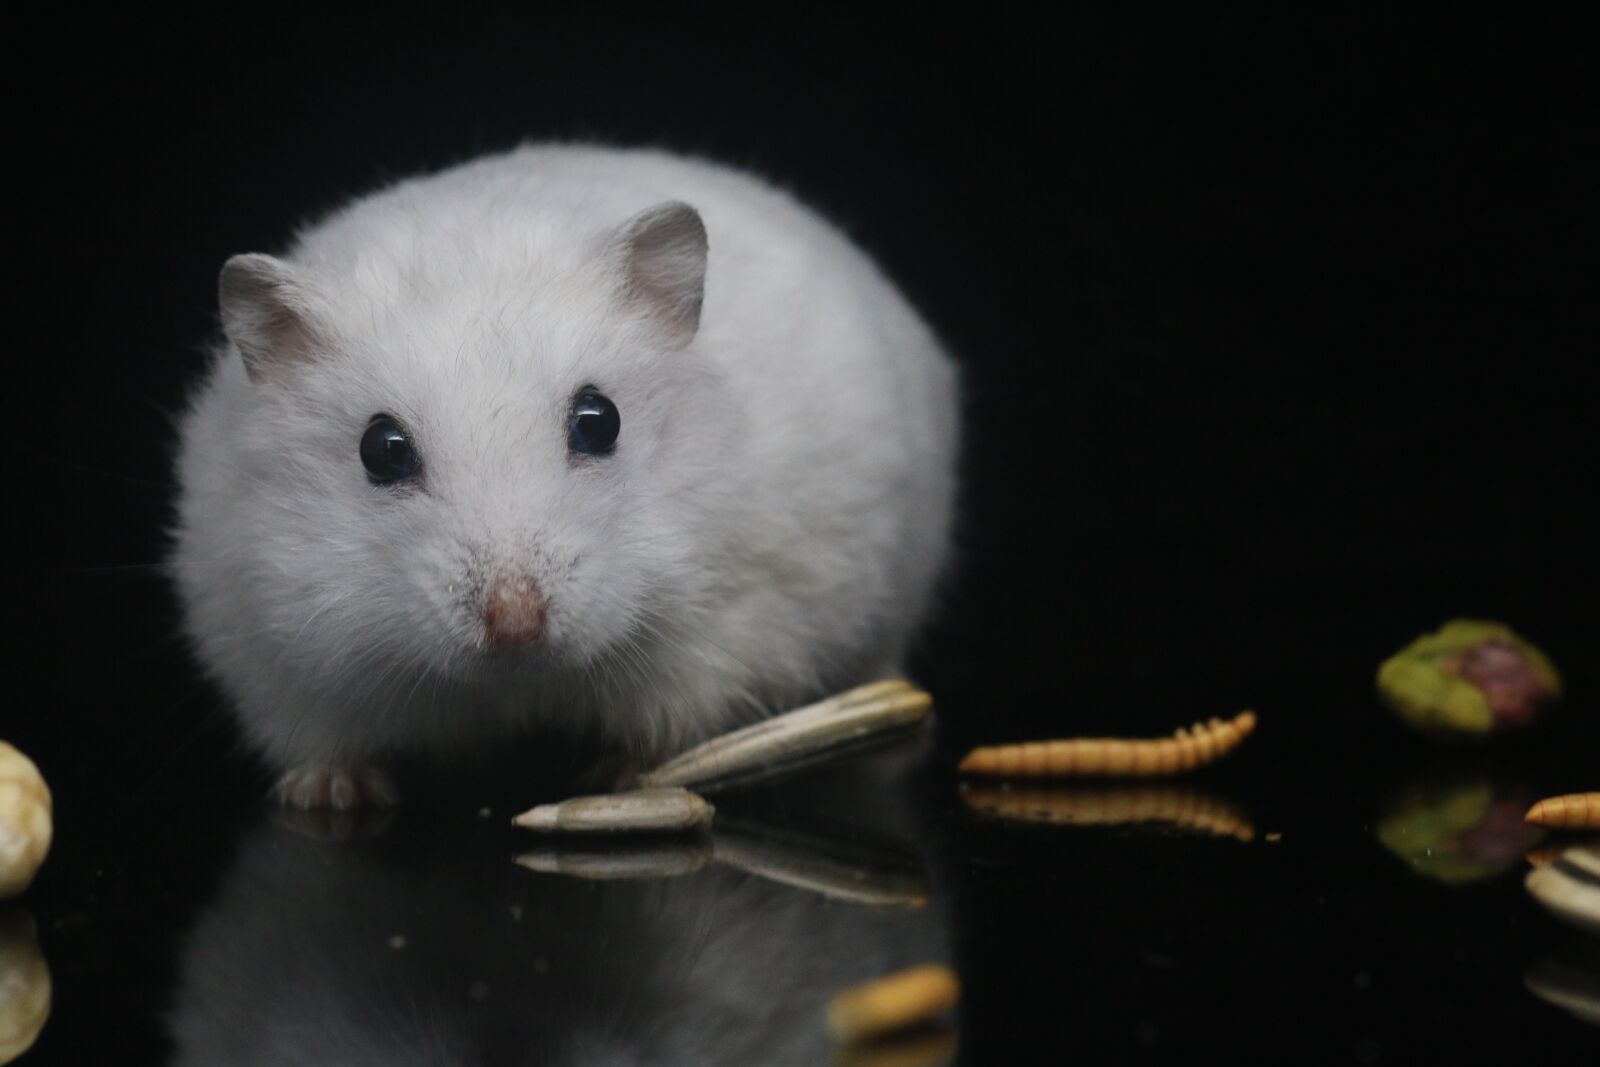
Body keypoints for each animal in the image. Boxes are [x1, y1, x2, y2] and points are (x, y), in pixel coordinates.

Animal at [171, 144, 960, 808]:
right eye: (381, 449)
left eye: (599, 421)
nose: (515, 625)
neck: (520, 683)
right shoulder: (269, 643)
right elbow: (320, 738)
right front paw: (334, 795)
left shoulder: (732, 616)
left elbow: (676, 711)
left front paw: (623, 777)